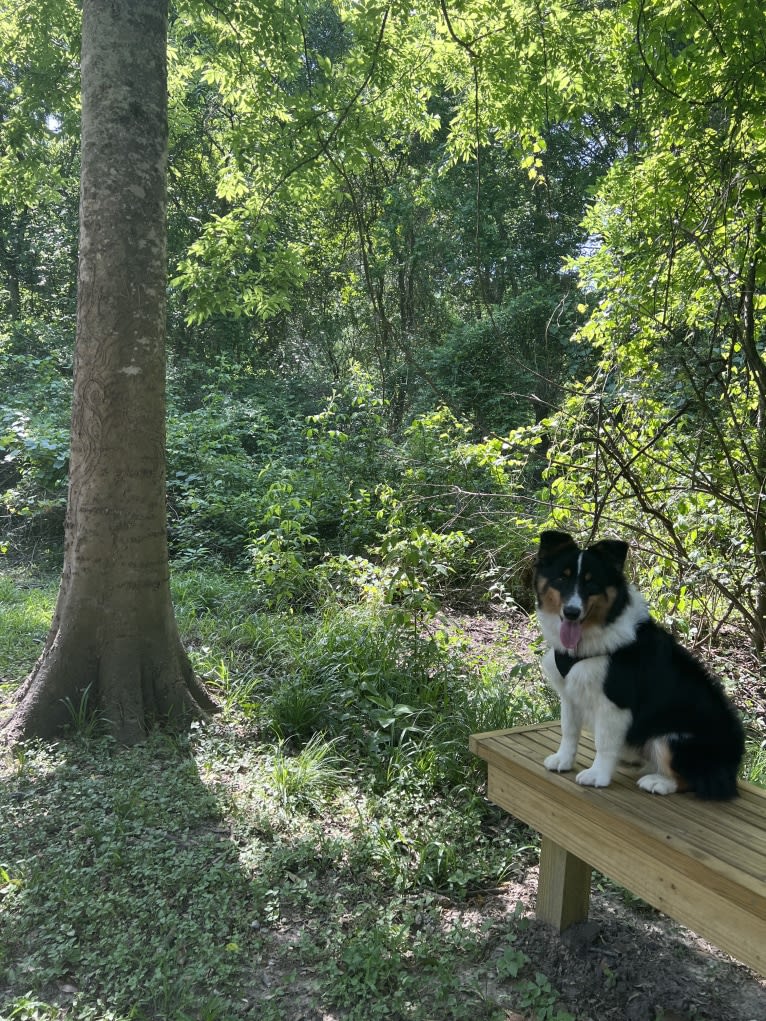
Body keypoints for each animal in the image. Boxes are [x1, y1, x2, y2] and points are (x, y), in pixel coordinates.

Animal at [535, 530, 743, 800]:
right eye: (562, 577)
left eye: (592, 583)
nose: (571, 612)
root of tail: (732, 767)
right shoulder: (570, 693)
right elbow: (569, 730)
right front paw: (563, 760)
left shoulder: (615, 703)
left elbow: (604, 742)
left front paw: (597, 775)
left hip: (672, 737)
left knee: (695, 780)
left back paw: (659, 782)